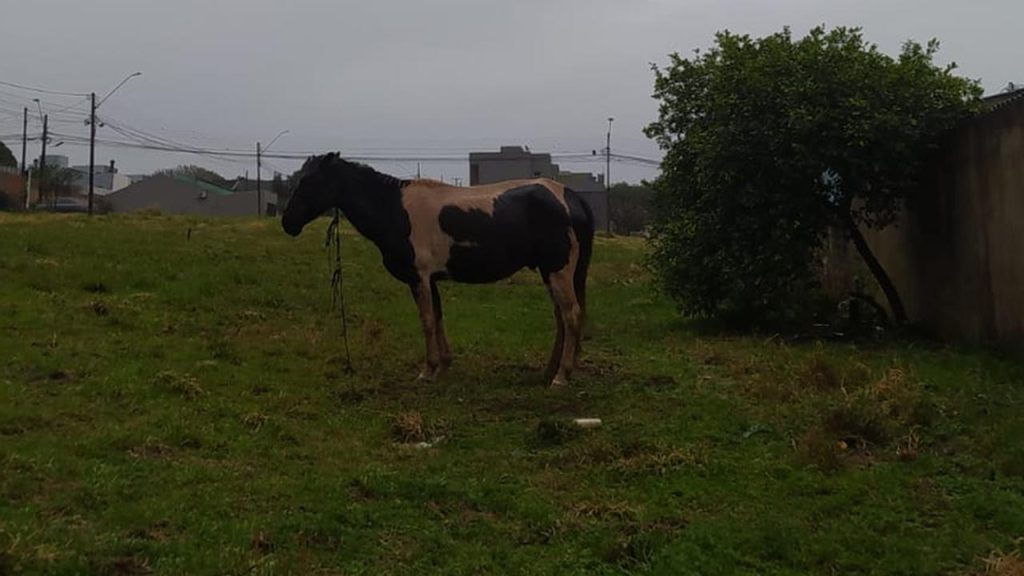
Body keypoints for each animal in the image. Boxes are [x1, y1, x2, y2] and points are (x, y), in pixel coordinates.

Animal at [281, 153, 595, 386]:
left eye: (309, 181)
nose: (287, 223)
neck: (395, 209)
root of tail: (570, 197)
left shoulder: (418, 278)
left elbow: (427, 320)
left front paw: (428, 370)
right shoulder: (430, 279)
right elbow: (439, 316)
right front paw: (444, 365)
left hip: (558, 271)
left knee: (571, 315)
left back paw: (561, 375)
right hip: (551, 272)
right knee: (561, 318)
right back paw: (549, 371)